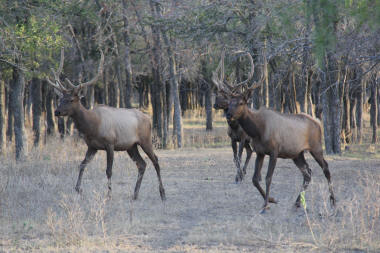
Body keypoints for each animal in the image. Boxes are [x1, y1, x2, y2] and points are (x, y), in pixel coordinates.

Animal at [46, 48, 166, 201]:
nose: (57, 111)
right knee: (142, 164)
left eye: (71, 99)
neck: (92, 127)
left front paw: (108, 195)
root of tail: (148, 119)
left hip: (145, 139)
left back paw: (162, 193)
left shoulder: (110, 143)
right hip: (131, 146)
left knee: (155, 160)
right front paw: (78, 189)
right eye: (60, 98)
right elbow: (82, 164)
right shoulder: (92, 146)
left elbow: (109, 170)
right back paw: (135, 194)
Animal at [211, 51, 255, 182]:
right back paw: (244, 172)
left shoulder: (242, 138)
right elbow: (235, 158)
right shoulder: (232, 139)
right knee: (250, 151)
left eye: (225, 97)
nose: (214, 104)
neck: (235, 127)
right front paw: (239, 175)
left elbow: (239, 157)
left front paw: (237, 176)